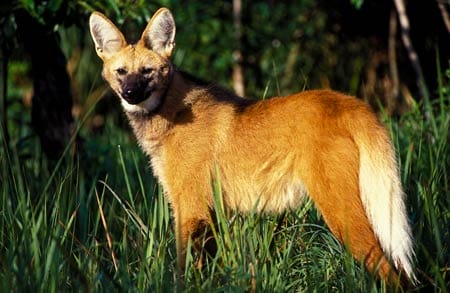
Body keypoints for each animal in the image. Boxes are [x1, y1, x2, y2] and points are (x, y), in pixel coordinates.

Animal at [89, 8, 416, 282]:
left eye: (147, 71)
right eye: (121, 72)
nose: (131, 93)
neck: (172, 113)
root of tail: (348, 102)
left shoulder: (190, 208)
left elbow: (183, 270)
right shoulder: (212, 212)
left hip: (341, 212)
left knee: (389, 269)